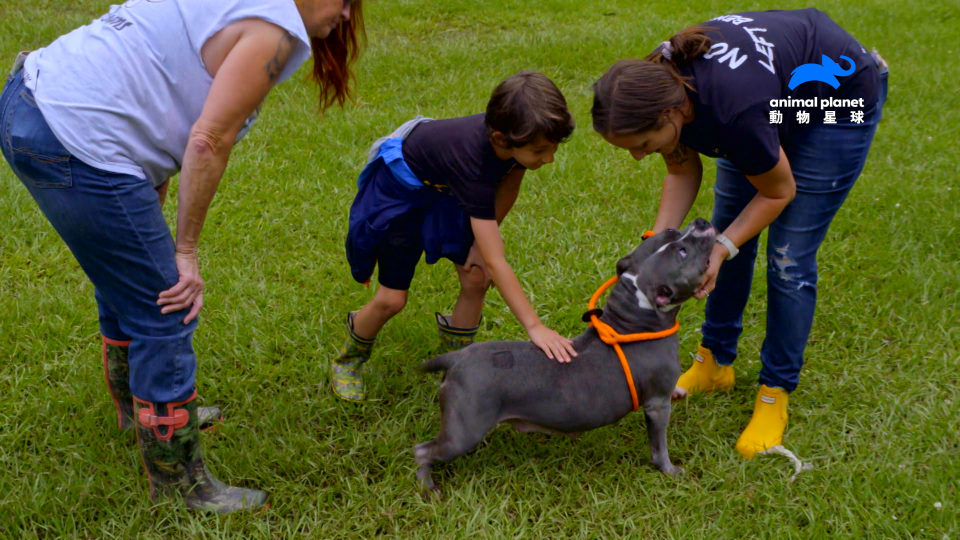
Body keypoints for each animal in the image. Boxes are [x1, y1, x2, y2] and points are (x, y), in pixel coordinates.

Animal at [416, 217, 716, 496]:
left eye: (672, 231)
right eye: (682, 251)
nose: (701, 222)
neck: (636, 318)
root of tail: (457, 357)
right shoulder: (657, 404)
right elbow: (659, 444)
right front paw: (669, 470)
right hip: (465, 430)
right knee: (422, 450)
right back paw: (428, 488)